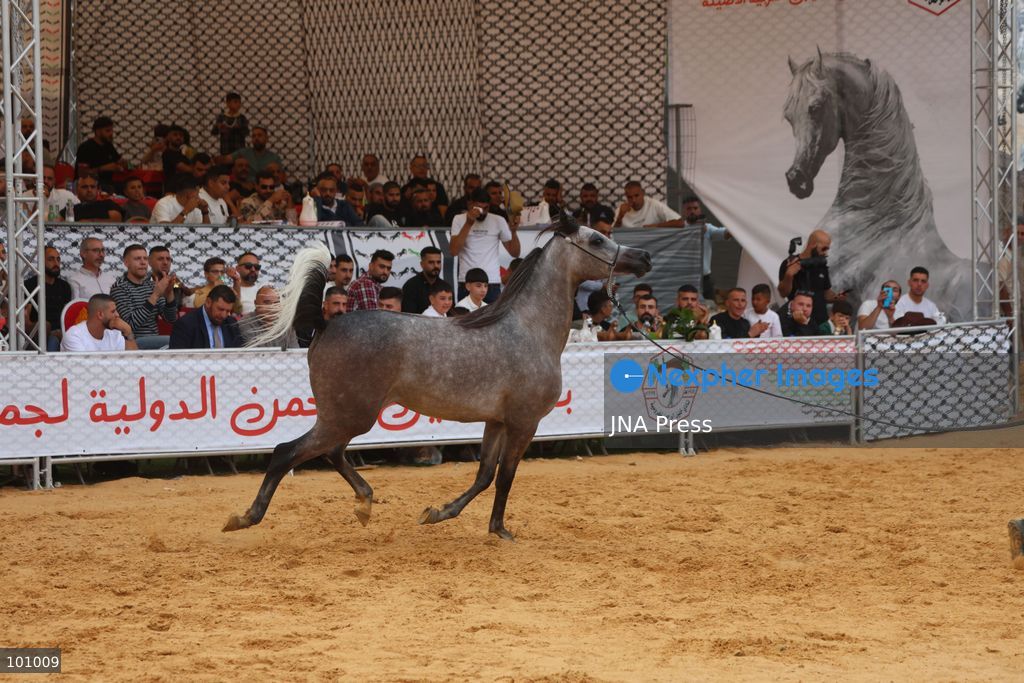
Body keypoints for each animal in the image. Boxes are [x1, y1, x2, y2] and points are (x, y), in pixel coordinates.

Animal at [223, 216, 652, 540]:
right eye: (596, 239)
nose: (644, 256)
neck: (527, 330)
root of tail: (327, 324)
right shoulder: (523, 422)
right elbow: (505, 477)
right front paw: (501, 531)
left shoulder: (496, 421)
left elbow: (484, 475)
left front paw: (439, 513)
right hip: (349, 415)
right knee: (287, 452)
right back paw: (244, 518)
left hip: (345, 416)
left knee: (331, 452)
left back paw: (364, 503)